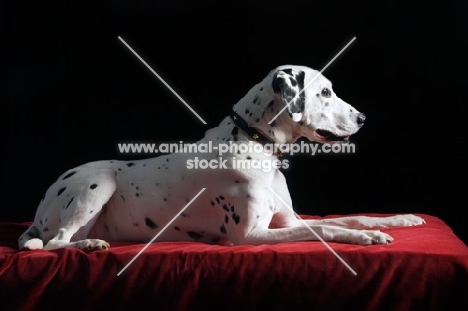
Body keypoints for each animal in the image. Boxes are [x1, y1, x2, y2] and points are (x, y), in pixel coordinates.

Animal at [18, 64, 424, 252]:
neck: (256, 144)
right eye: (324, 92)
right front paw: (368, 237)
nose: (363, 118)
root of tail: (38, 211)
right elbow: (325, 228)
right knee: (55, 243)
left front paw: (397, 219)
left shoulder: (288, 219)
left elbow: (352, 215)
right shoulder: (252, 236)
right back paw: (88, 246)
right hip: (98, 180)